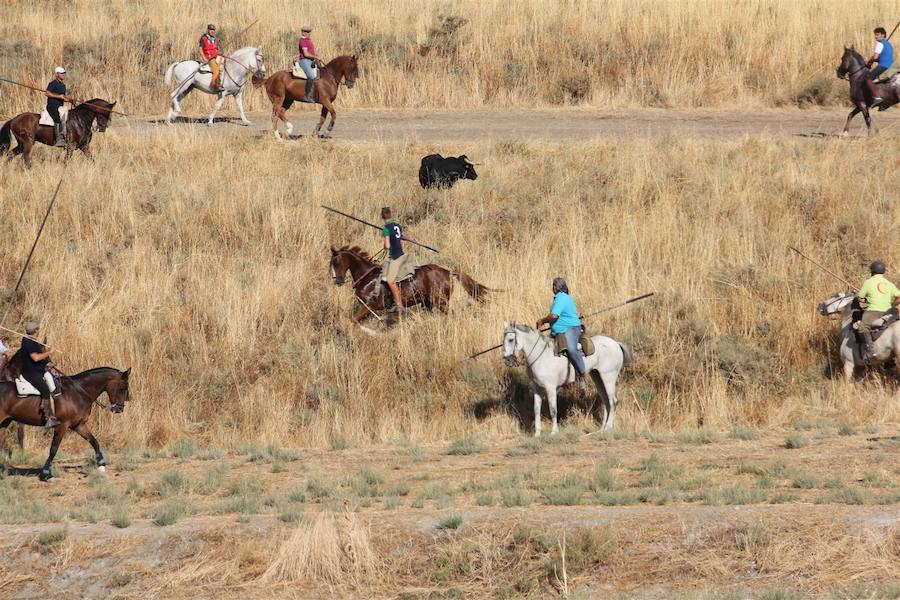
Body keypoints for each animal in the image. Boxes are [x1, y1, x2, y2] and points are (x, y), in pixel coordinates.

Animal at [0, 366, 130, 482]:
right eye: (123, 387)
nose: (120, 409)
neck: (78, 391)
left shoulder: (79, 425)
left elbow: (94, 441)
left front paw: (101, 465)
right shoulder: (62, 426)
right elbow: (53, 449)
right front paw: (47, 474)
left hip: (4, 424)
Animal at [328, 245, 488, 338]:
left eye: (336, 262)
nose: (338, 281)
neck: (367, 277)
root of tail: (448, 272)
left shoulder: (370, 306)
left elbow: (353, 320)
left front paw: (372, 332)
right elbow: (354, 321)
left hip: (441, 303)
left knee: (453, 315)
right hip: (429, 304)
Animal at [500, 324, 632, 436]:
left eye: (511, 340)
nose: (507, 360)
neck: (540, 355)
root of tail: (615, 343)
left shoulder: (551, 388)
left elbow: (553, 410)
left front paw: (554, 432)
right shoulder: (537, 388)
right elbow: (536, 410)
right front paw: (537, 434)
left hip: (609, 377)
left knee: (613, 401)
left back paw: (608, 427)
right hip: (597, 377)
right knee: (606, 400)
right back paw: (602, 428)